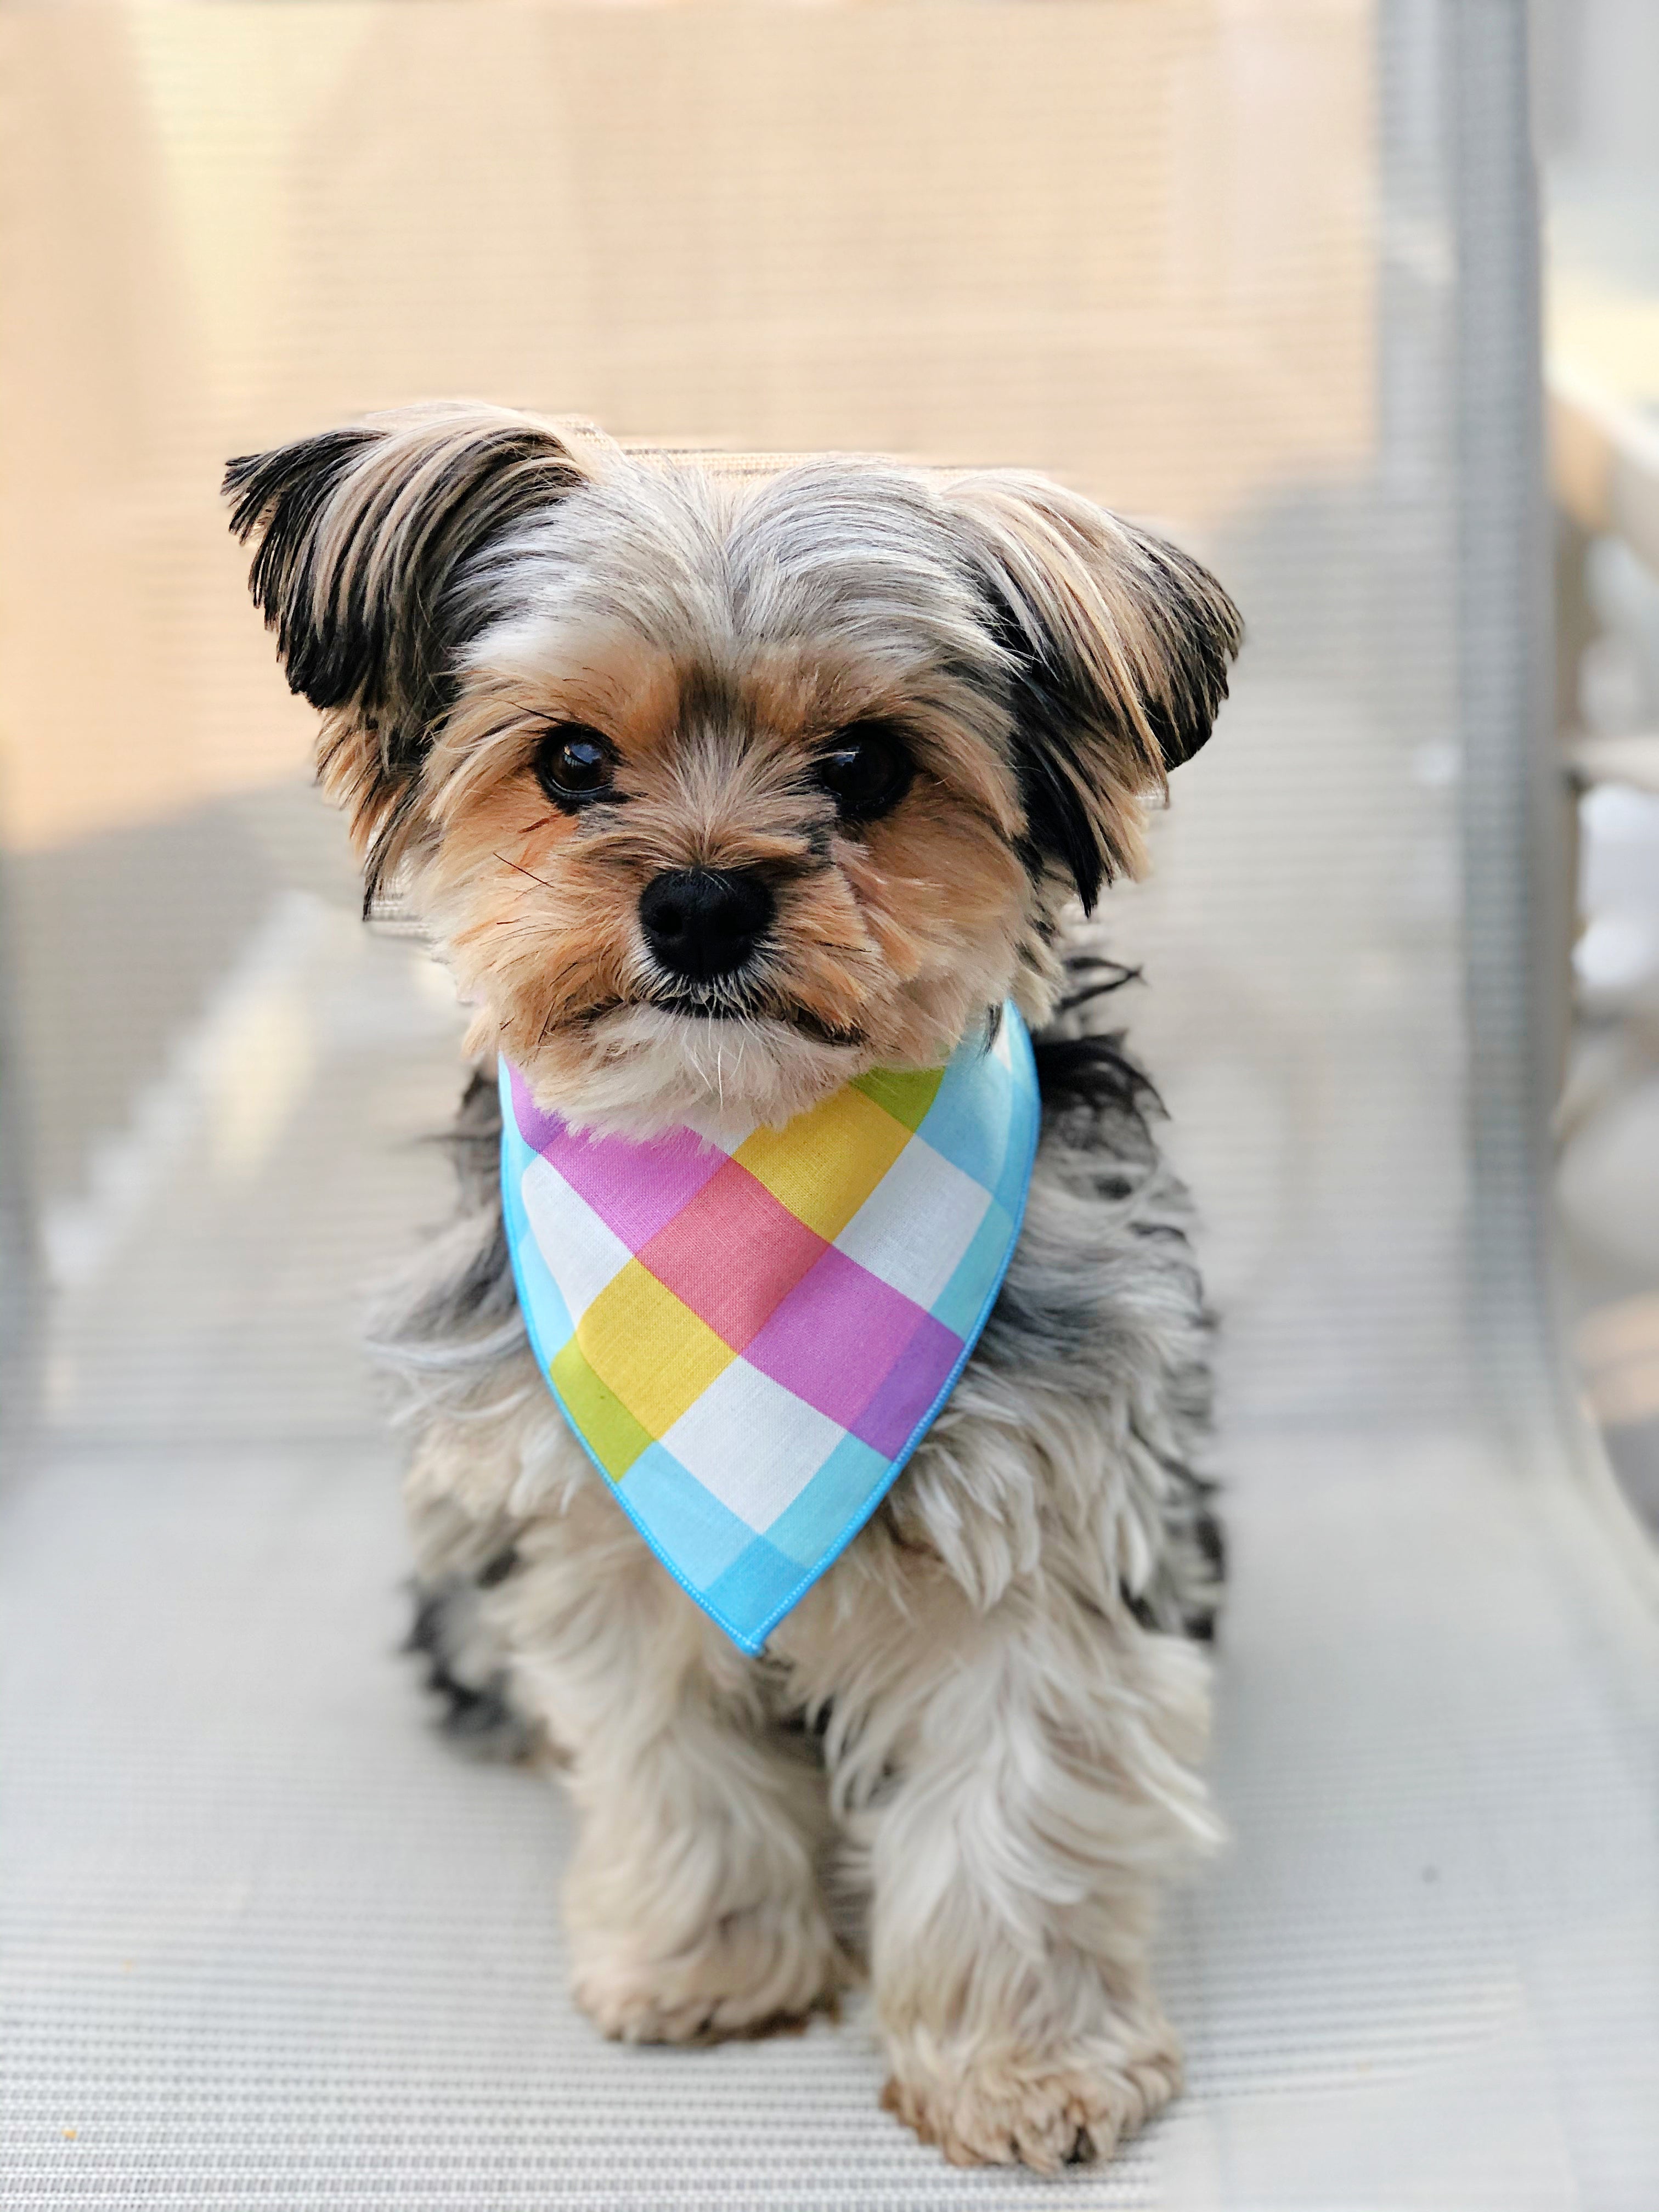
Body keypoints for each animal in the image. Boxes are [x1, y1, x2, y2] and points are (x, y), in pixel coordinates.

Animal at [221, 407, 1238, 2168]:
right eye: (569, 763)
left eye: (871, 767)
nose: (700, 900)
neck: (737, 1149)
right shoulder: (594, 1525)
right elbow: (666, 1757)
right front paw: (709, 1965)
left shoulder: (1045, 1516)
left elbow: (1018, 1803)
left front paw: (1026, 2065)